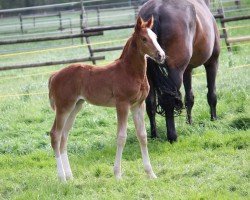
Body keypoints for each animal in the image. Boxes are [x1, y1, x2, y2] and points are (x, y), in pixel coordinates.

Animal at [48, 16, 166, 180]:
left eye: (155, 37)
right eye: (144, 39)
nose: (161, 55)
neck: (130, 71)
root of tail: (54, 75)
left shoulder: (138, 105)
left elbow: (142, 136)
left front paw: (151, 173)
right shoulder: (122, 104)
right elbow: (121, 137)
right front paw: (117, 174)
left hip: (75, 106)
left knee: (64, 136)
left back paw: (70, 176)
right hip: (63, 107)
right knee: (55, 135)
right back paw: (62, 178)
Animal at [140, 0, 220, 141]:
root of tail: (156, 10)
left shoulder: (187, 70)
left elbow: (189, 98)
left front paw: (189, 123)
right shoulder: (212, 62)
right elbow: (212, 94)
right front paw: (213, 119)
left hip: (149, 75)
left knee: (150, 104)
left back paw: (154, 135)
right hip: (176, 72)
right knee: (168, 100)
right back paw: (172, 136)